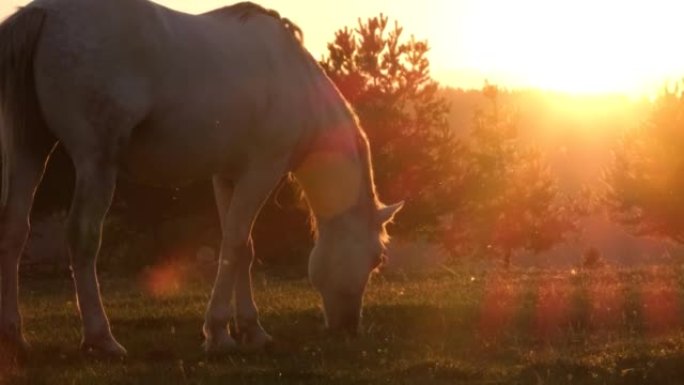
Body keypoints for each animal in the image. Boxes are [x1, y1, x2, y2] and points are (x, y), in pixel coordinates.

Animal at [0, 0, 400, 356]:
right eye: (376, 258)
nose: (349, 327)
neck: (294, 79)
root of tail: (45, 12)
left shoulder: (227, 176)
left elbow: (243, 248)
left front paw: (252, 331)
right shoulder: (262, 171)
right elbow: (235, 244)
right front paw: (219, 333)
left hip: (29, 150)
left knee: (15, 230)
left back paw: (14, 337)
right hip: (95, 162)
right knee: (83, 238)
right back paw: (102, 339)